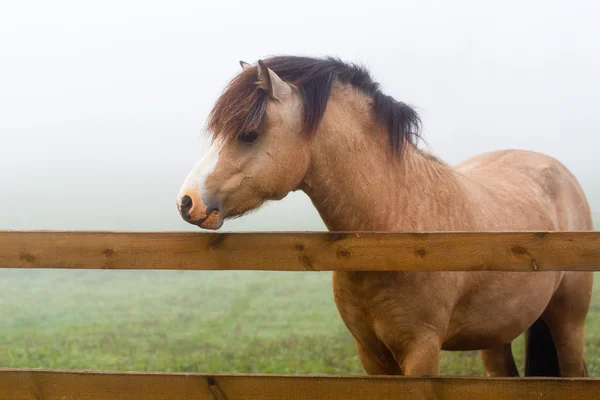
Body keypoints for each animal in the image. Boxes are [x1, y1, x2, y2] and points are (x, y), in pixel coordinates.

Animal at [176, 56, 592, 378]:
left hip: (568, 323)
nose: (187, 201)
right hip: (495, 336)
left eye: (248, 134)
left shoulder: (421, 351)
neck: (396, 227)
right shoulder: (371, 355)